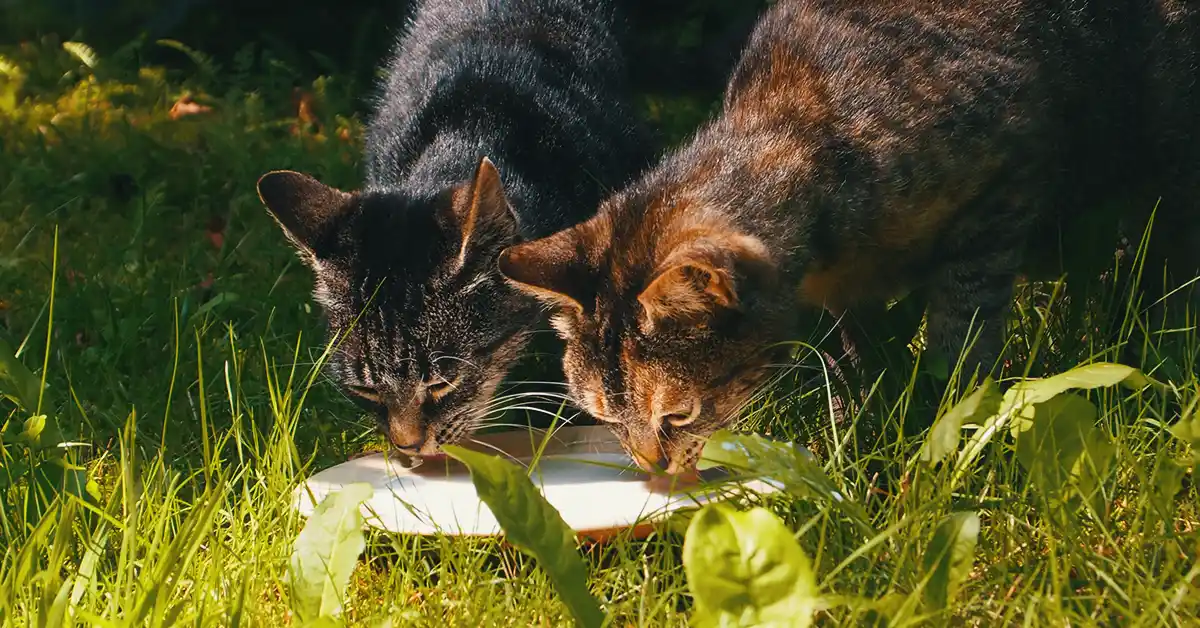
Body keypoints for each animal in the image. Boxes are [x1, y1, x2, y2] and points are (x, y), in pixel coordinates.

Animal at [492, 0, 1195, 470]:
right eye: (605, 417)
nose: (650, 469)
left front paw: (950, 408)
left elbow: (961, 329)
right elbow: (856, 352)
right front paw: (861, 407)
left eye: (679, 415)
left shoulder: (999, 197)